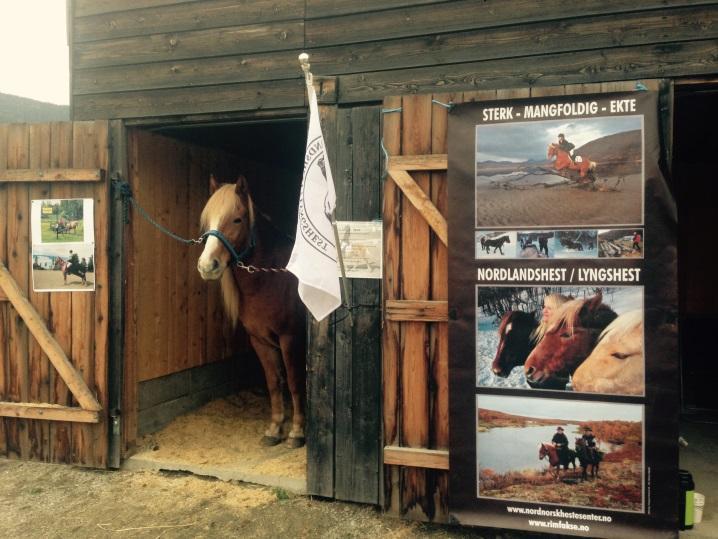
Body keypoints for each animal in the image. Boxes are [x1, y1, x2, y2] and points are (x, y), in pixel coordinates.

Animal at [198, 175, 308, 450]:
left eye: (237, 219)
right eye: (207, 220)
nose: (207, 266)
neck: (272, 278)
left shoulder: (291, 339)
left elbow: (294, 382)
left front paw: (297, 432)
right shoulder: (260, 340)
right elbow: (274, 383)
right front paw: (275, 429)